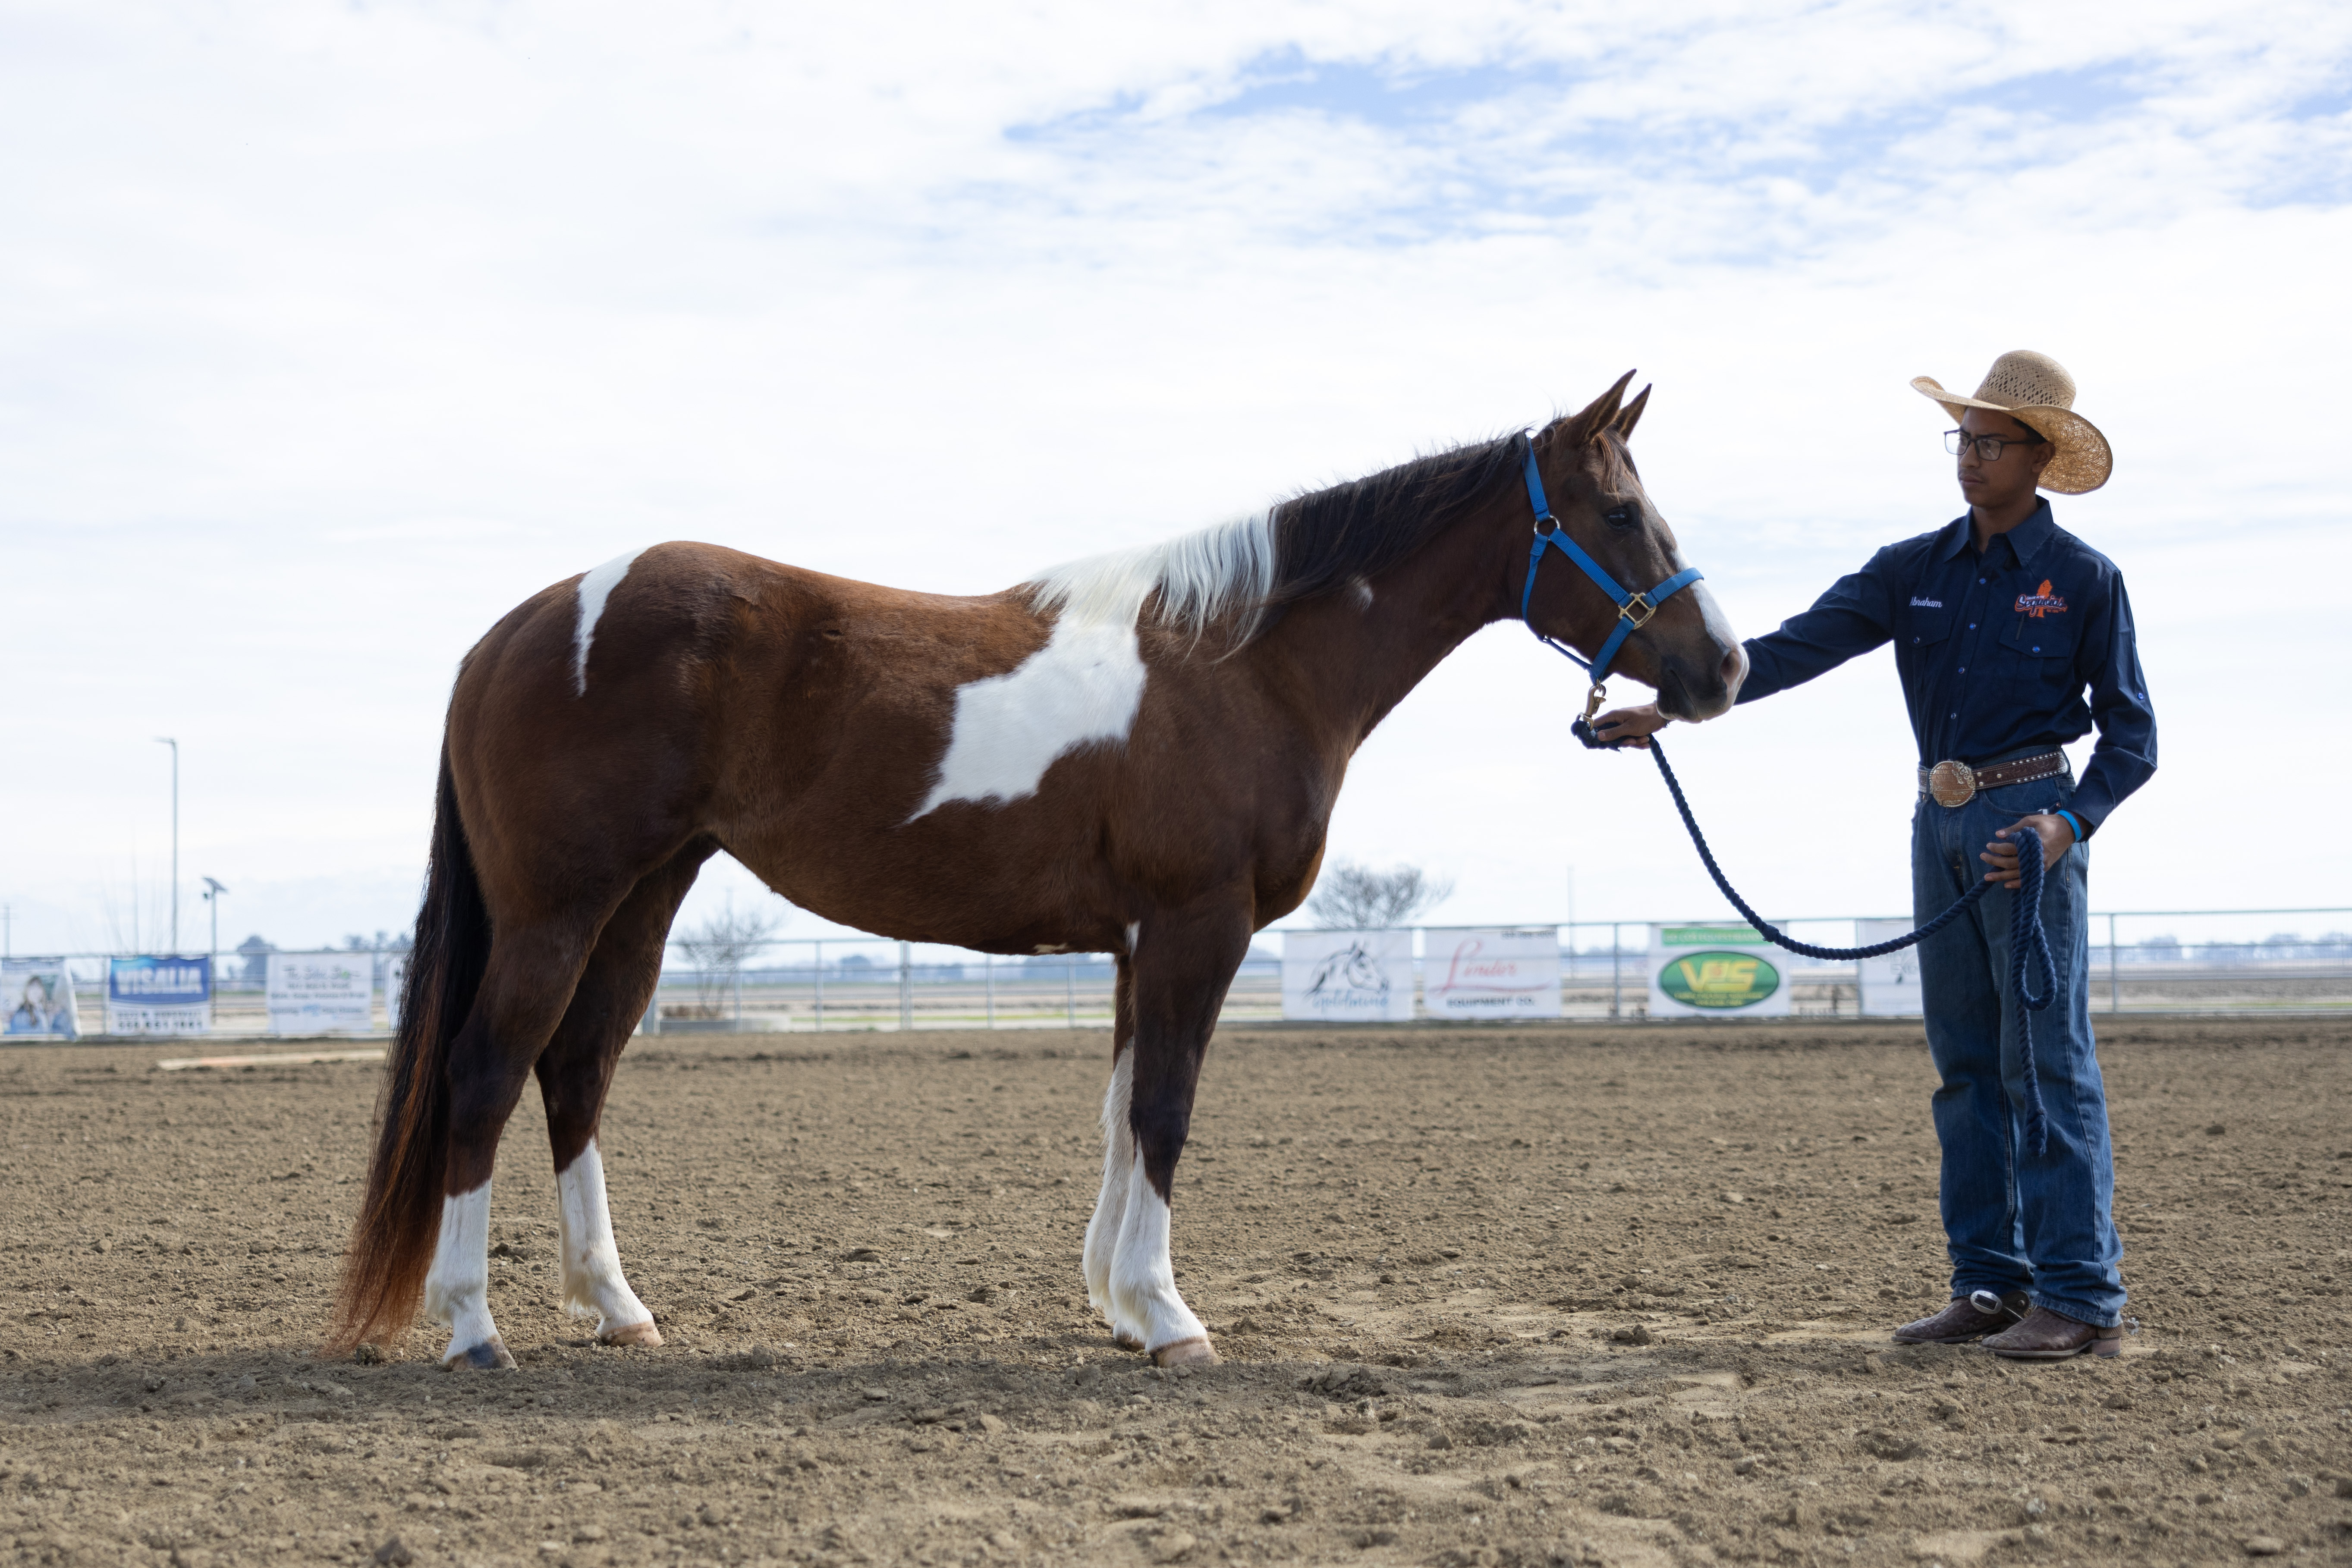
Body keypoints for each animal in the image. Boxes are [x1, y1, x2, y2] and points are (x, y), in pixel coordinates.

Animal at [327, 372, 1746, 1370]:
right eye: (1618, 511)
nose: (1719, 667)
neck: (1241, 664)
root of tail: (516, 628)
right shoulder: (1196, 927)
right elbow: (1164, 1111)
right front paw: (1170, 1317)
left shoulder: (1139, 942)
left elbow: (1122, 1113)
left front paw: (1120, 1305)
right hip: (556, 910)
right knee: (484, 1074)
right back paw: (473, 1327)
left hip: (643, 899)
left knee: (576, 1071)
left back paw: (618, 1307)